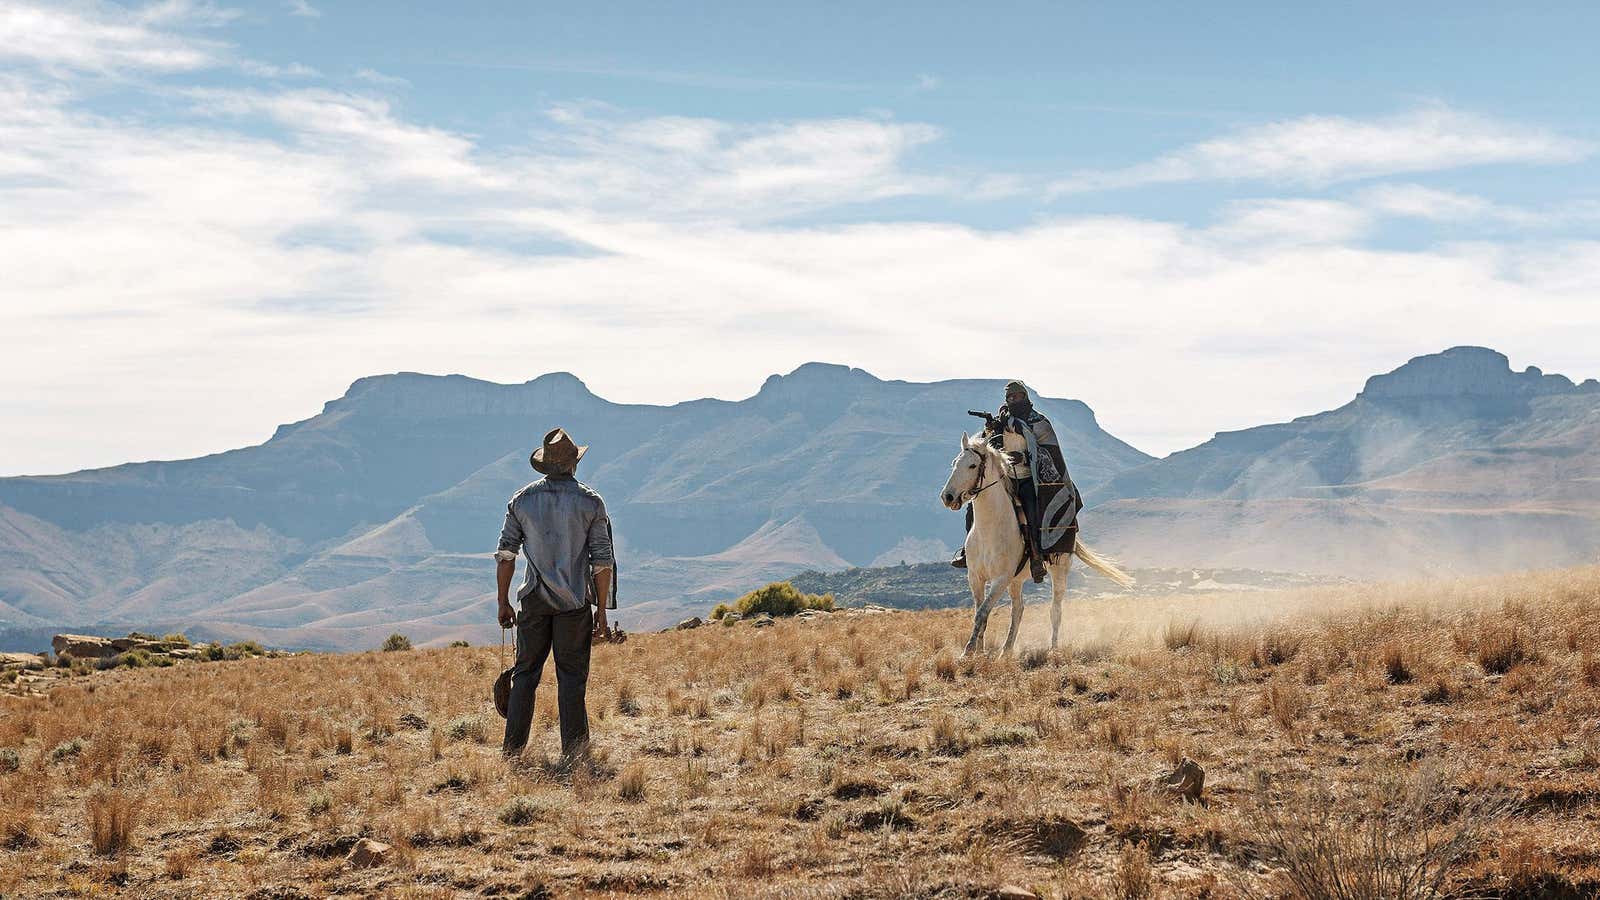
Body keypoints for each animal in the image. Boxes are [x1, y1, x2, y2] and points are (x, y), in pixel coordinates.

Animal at [934, 432, 1139, 656]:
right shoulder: (975, 578)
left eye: (972, 465)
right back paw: (1006, 650)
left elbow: (982, 613)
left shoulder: (1001, 579)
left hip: (1058, 570)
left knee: (1055, 610)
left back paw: (1053, 649)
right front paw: (979, 651)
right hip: (1016, 581)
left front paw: (968, 651)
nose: (947, 496)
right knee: (1018, 609)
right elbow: (981, 613)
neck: (990, 529)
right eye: (954, 463)